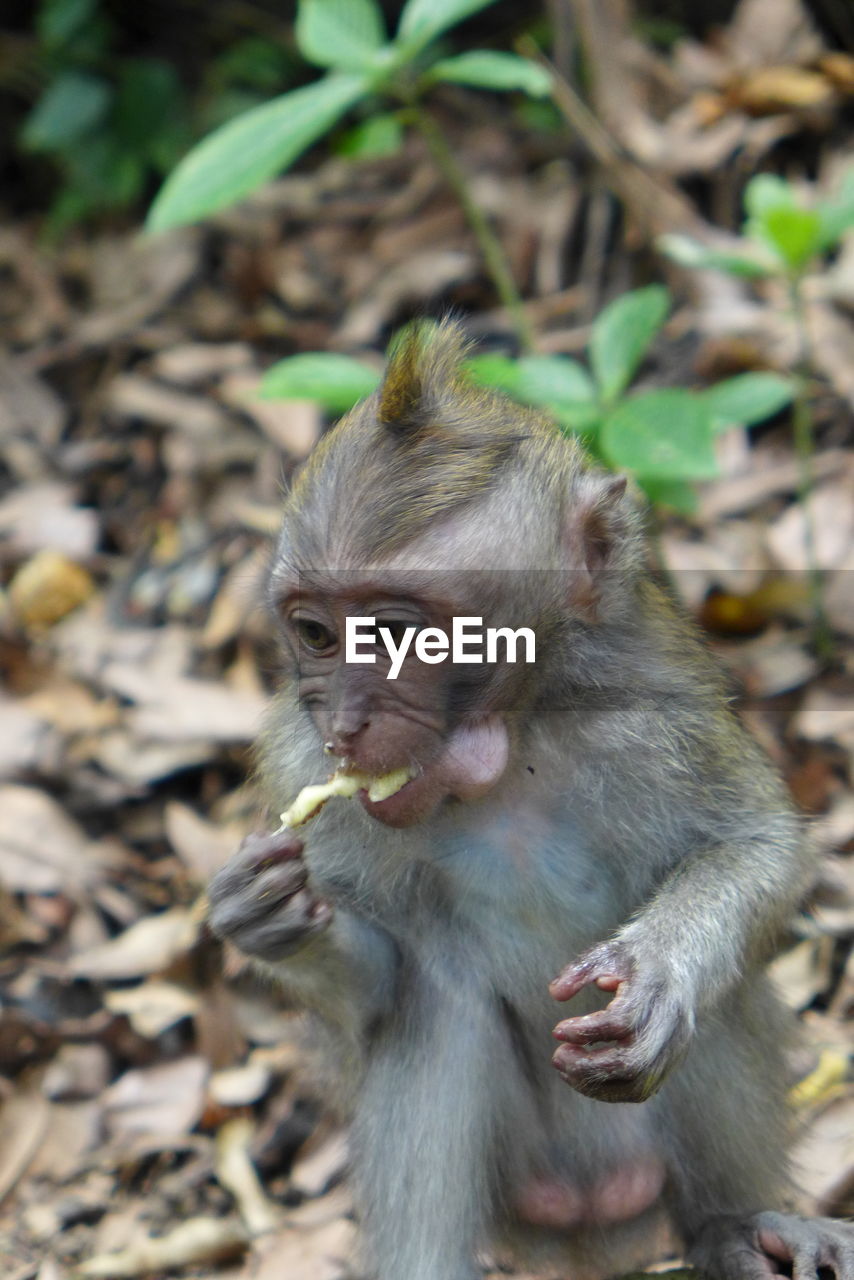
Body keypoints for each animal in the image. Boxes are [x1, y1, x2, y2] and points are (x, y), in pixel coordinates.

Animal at [207, 320, 854, 1280]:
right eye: (316, 633)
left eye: (395, 634)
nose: (346, 726)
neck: (511, 743)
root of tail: (596, 1215)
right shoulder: (294, 762)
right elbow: (385, 990)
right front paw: (270, 915)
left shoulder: (654, 719)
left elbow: (758, 846)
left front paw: (660, 964)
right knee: (439, 1016)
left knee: (713, 1009)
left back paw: (734, 1225)